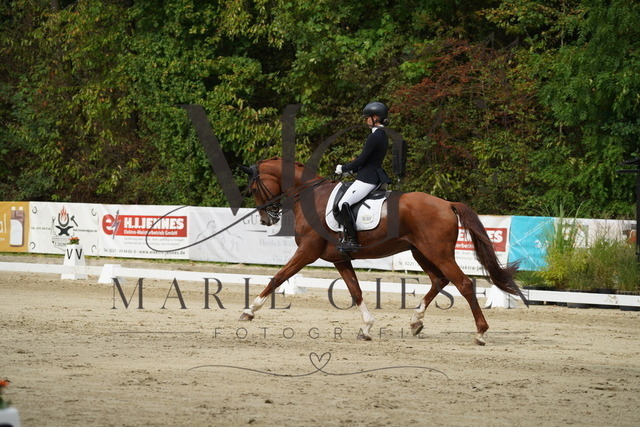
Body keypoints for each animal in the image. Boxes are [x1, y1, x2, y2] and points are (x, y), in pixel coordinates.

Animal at [238, 156, 524, 345]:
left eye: (253, 188)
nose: (266, 219)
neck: (310, 197)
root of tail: (447, 203)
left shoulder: (308, 251)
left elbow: (278, 277)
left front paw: (249, 311)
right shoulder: (339, 258)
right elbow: (355, 291)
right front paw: (366, 328)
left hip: (437, 252)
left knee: (463, 283)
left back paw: (480, 332)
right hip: (420, 252)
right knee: (439, 280)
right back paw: (416, 321)